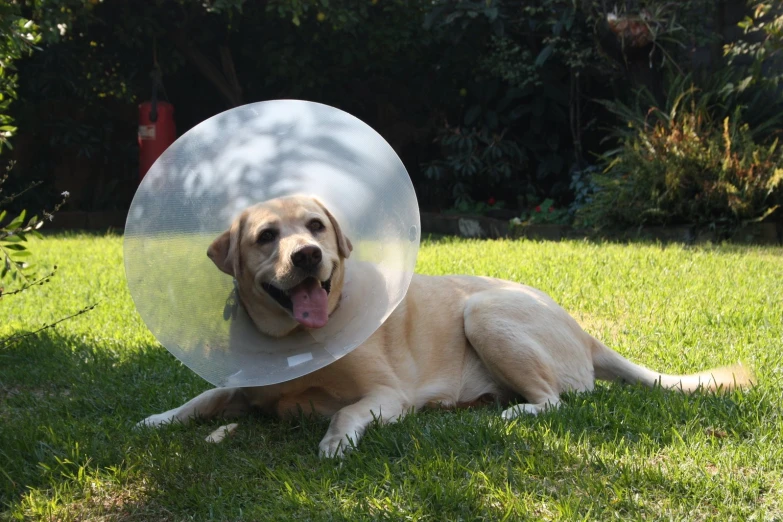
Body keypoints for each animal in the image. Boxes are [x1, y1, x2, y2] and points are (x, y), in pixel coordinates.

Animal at [139, 194, 752, 456]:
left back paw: (512, 412)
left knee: (557, 399)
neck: (294, 343)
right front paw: (159, 418)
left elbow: (345, 411)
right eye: (266, 236)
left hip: (485, 311)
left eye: (315, 226)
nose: (309, 255)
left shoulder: (386, 393)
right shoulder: (242, 386)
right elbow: (204, 397)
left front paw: (336, 441)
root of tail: (582, 330)